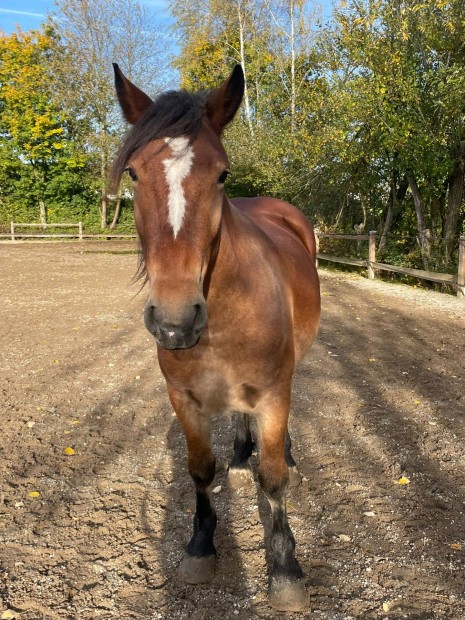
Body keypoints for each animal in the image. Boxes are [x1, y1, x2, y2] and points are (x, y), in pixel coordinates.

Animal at [112, 60, 320, 612]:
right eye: (133, 172)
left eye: (222, 173)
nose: (175, 322)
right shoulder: (184, 399)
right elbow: (201, 470)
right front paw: (201, 545)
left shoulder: (273, 392)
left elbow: (275, 479)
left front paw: (285, 568)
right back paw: (242, 456)